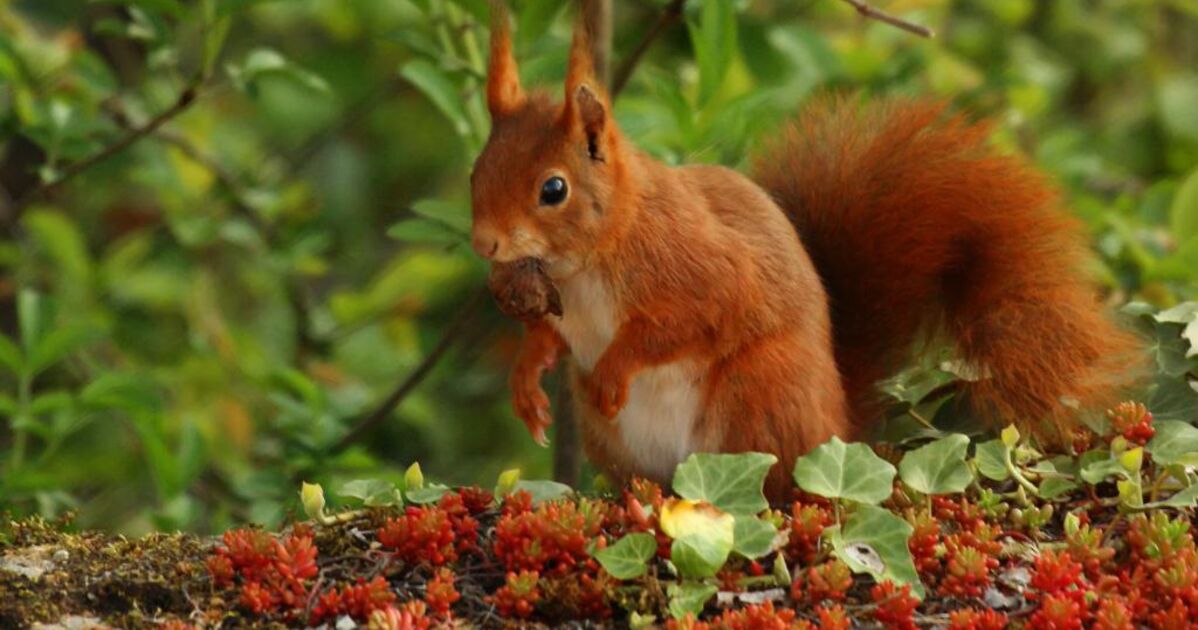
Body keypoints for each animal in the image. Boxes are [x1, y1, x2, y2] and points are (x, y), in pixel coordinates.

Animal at [467, 6, 1140, 498]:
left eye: (553, 189)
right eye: (478, 169)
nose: (484, 242)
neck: (587, 263)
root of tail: (839, 430)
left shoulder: (694, 263)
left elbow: (692, 318)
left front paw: (615, 366)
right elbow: (549, 338)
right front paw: (527, 376)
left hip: (760, 392)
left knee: (776, 487)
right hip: (615, 437)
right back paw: (641, 500)